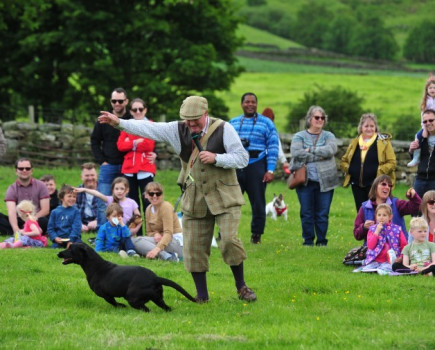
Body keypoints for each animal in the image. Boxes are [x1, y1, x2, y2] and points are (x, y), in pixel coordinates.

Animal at [57, 243, 197, 312]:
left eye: (70, 249)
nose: (59, 253)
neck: (95, 266)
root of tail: (155, 278)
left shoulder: (105, 294)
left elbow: (114, 303)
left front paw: (121, 306)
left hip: (132, 297)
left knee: (146, 309)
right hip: (158, 299)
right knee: (166, 308)